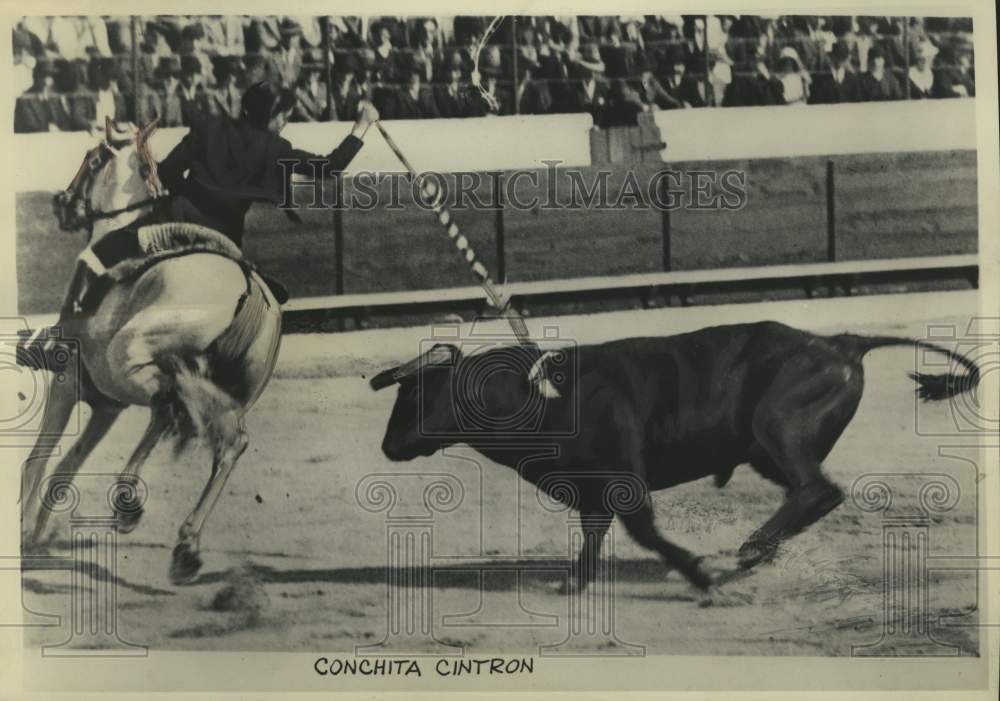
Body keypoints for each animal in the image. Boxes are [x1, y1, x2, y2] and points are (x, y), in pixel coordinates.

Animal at [20, 119, 286, 580]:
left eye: (93, 159)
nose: (63, 203)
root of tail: (248, 282)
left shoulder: (68, 384)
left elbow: (39, 458)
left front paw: (22, 533)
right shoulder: (107, 405)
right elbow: (67, 465)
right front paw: (36, 535)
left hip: (128, 357)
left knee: (178, 409)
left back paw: (137, 508)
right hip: (214, 384)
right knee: (223, 437)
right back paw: (181, 542)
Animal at [370, 322, 976, 592]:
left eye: (416, 394)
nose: (388, 445)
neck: (541, 397)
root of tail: (840, 342)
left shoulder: (622, 478)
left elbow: (643, 530)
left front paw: (697, 572)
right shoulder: (590, 488)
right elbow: (595, 534)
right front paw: (575, 583)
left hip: (778, 429)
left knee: (816, 489)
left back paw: (748, 551)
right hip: (764, 450)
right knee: (808, 493)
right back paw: (758, 552)